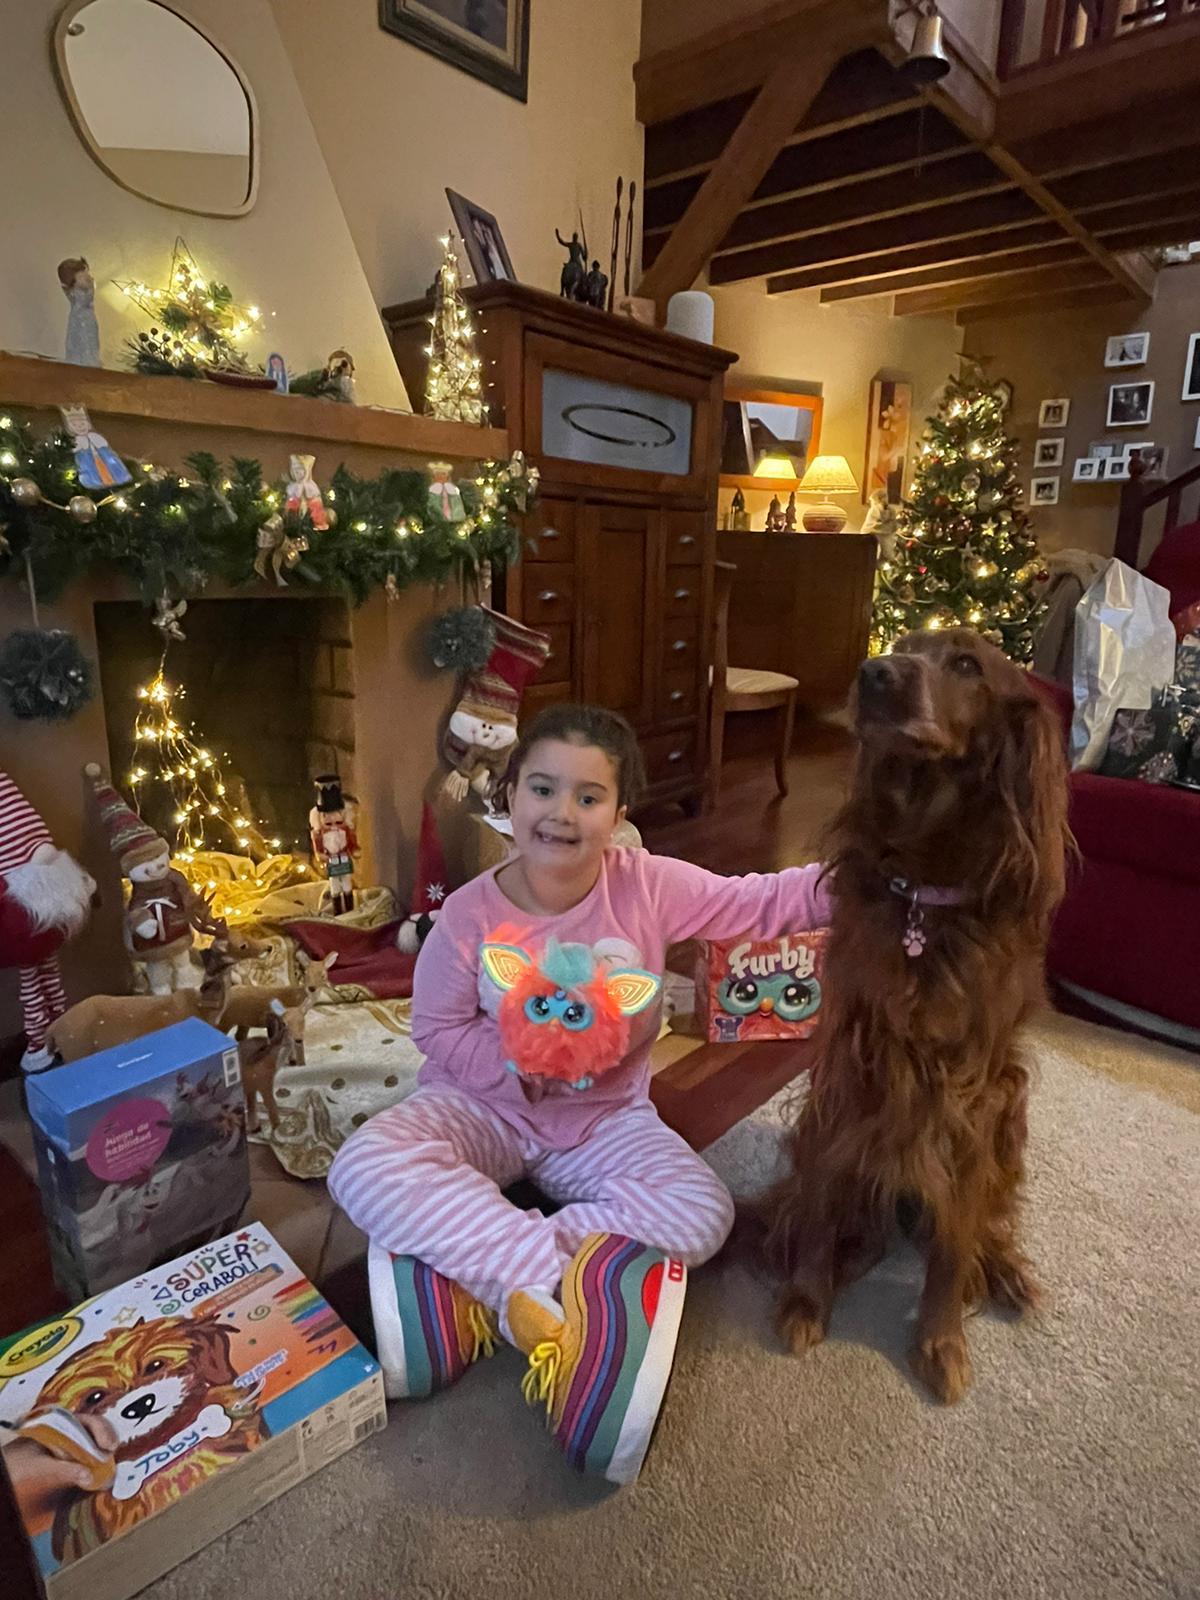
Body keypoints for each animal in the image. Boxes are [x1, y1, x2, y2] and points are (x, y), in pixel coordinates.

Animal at [761, 624, 1068, 1401]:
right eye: (902, 640)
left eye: (966, 664)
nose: (873, 673)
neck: (924, 897)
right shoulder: (850, 1068)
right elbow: (823, 1201)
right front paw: (807, 1298)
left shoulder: (972, 1096)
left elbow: (954, 1241)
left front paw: (940, 1338)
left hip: (1012, 1117)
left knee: (988, 1218)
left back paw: (1006, 1270)